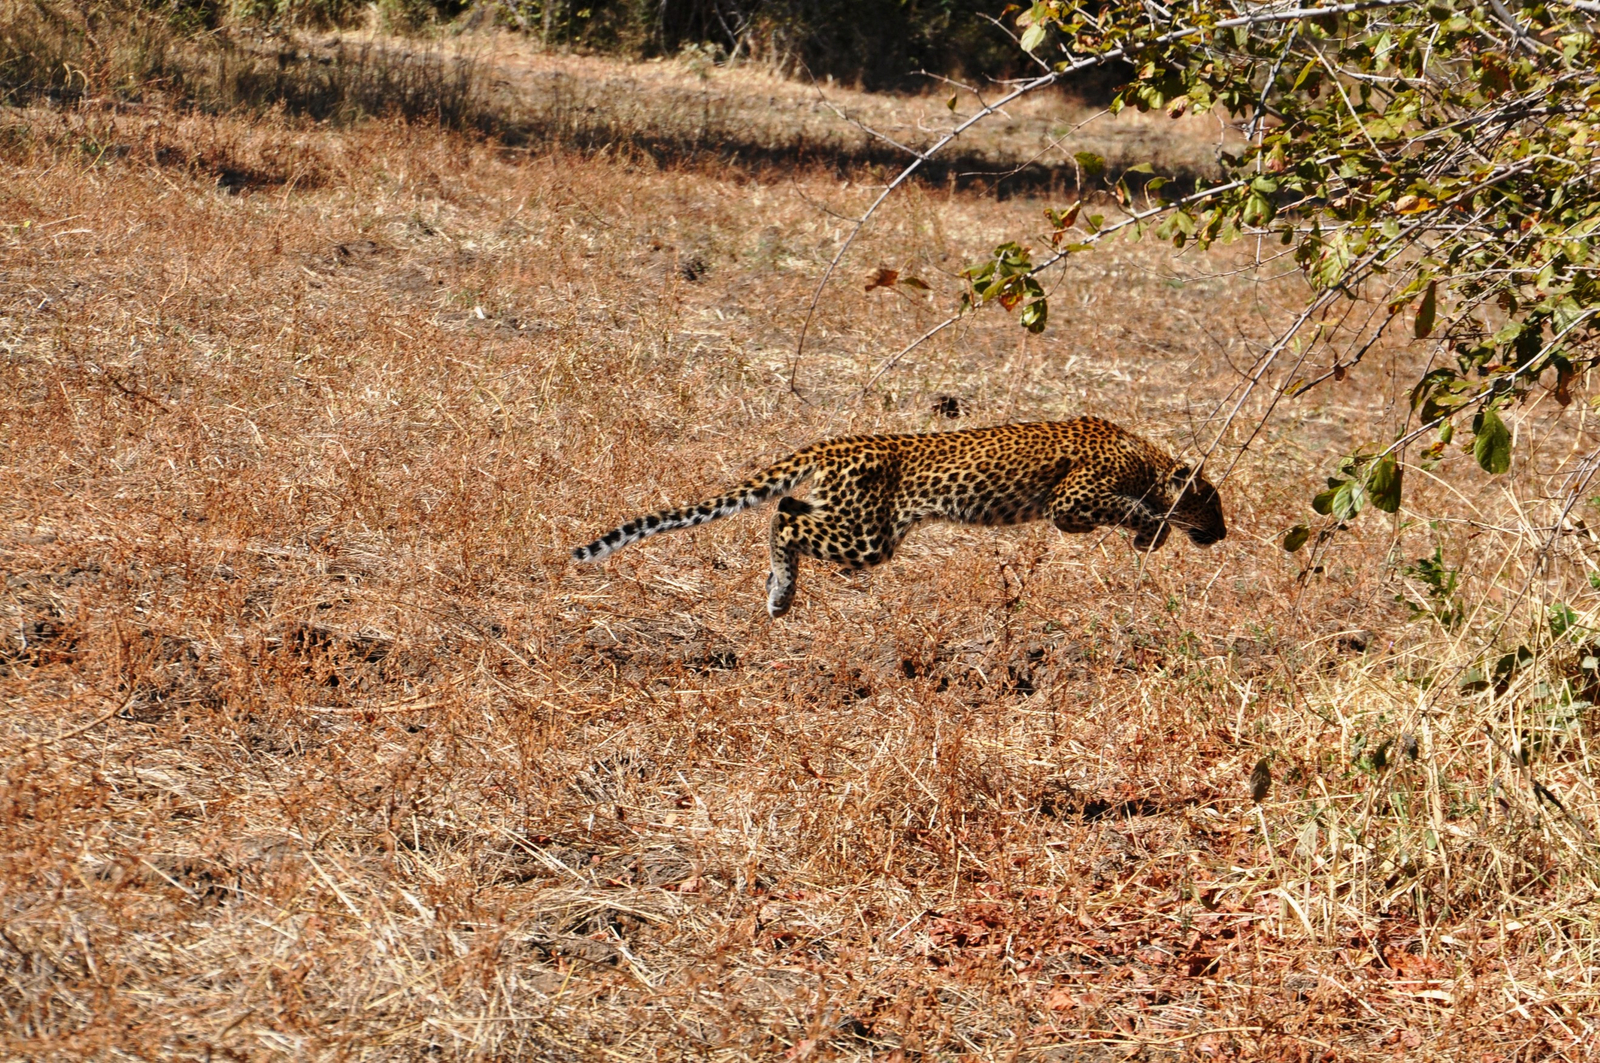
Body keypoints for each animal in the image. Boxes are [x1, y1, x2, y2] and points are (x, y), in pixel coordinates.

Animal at [571, 417, 1226, 618]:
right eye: (1213, 502)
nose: (1221, 534)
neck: (1145, 457)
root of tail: (834, 444)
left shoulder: (1074, 514)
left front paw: (1148, 538)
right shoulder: (1073, 502)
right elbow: (1136, 508)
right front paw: (1155, 531)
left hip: (851, 518)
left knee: (785, 505)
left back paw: (778, 590)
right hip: (869, 535)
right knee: (784, 520)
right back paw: (781, 594)